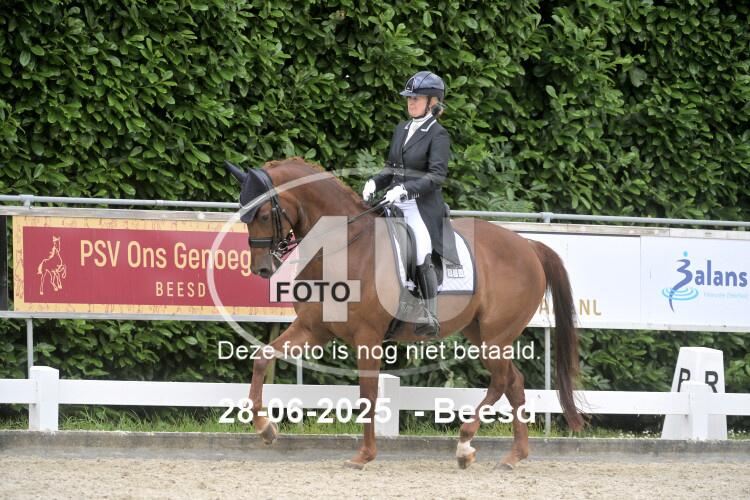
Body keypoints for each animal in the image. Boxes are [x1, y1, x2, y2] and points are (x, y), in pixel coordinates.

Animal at [227, 157, 583, 469]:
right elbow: (262, 358)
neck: (342, 247)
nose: (261, 268)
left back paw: (465, 445)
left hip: (497, 334)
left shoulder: (367, 337)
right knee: (514, 382)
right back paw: (513, 456)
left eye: (261, 213)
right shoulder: (315, 329)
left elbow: (368, 395)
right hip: (480, 331)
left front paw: (364, 455)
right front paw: (265, 428)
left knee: (501, 381)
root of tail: (529, 246)